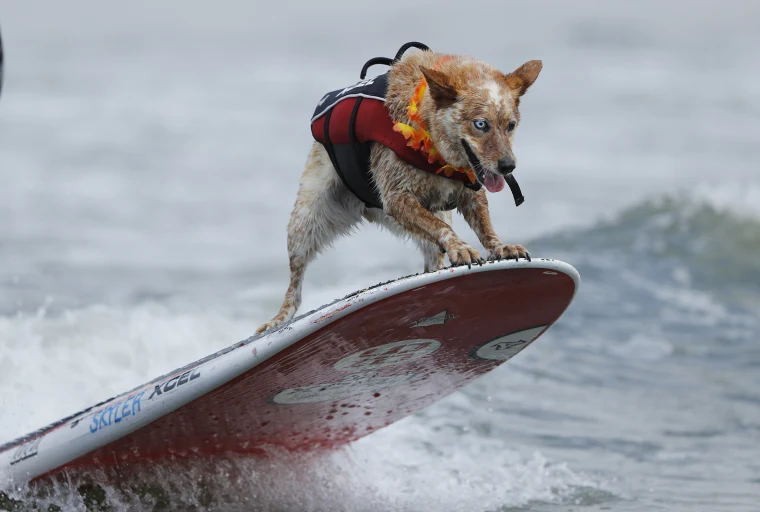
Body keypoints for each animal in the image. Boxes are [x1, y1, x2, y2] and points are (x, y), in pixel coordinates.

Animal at [258, 43, 544, 332]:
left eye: (511, 125)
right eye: (481, 124)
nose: (508, 166)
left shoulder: (470, 192)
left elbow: (484, 227)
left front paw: (500, 247)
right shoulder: (397, 198)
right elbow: (442, 229)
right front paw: (460, 247)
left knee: (432, 256)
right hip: (306, 220)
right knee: (295, 284)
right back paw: (278, 320)